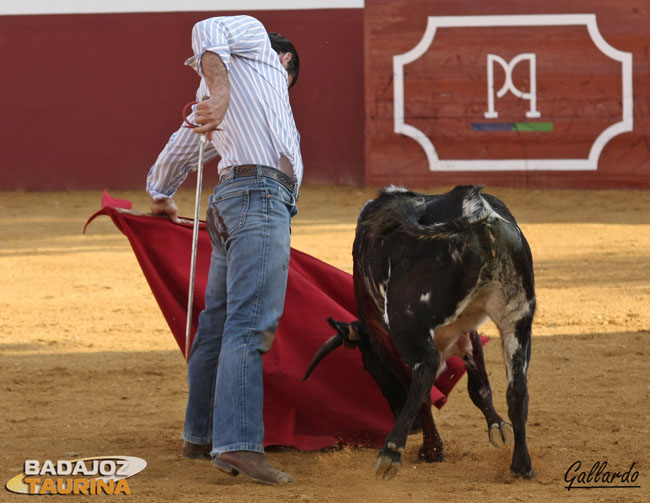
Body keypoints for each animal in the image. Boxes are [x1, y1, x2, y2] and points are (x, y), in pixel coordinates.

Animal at [302, 185, 532, 480]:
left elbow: (421, 390)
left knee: (426, 367)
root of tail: (469, 205)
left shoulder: (385, 336)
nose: (414, 430)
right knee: (518, 389)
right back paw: (521, 465)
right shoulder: (467, 333)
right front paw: (497, 427)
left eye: (370, 367)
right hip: (517, 320)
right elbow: (478, 386)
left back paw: (393, 451)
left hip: (406, 326)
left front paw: (431, 450)